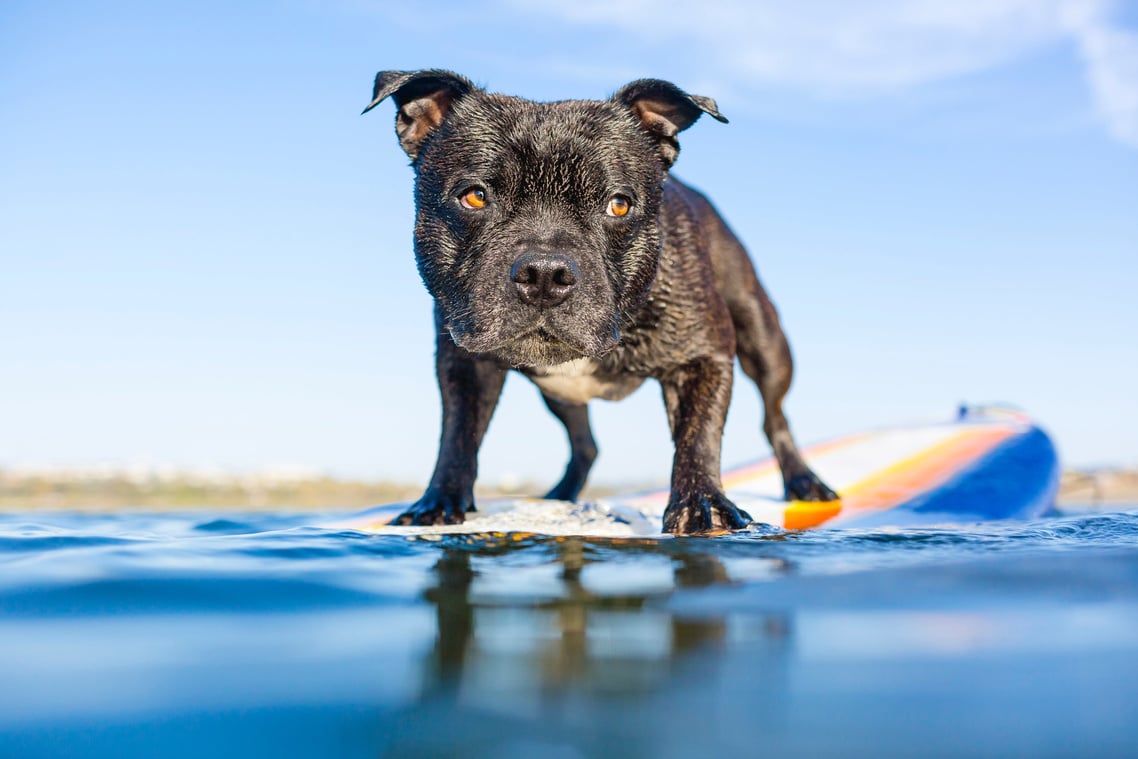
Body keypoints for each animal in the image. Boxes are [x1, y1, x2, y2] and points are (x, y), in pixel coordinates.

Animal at [364, 69, 837, 534]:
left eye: (619, 205)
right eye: (474, 196)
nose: (545, 274)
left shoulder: (703, 357)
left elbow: (699, 433)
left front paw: (703, 503)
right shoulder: (463, 362)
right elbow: (458, 433)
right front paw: (439, 501)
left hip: (764, 339)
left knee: (775, 416)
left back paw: (805, 482)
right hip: (560, 395)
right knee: (585, 444)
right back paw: (560, 496)